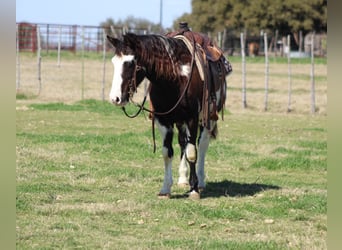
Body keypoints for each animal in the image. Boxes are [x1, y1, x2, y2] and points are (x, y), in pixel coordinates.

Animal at [107, 32, 230, 197]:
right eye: (114, 62)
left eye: (130, 63)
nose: (115, 98)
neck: (175, 78)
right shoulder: (163, 120)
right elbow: (167, 152)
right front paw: (165, 189)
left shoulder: (192, 118)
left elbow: (192, 152)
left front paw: (194, 189)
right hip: (180, 122)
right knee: (183, 142)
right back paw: (183, 178)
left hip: (208, 118)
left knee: (202, 145)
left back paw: (201, 181)